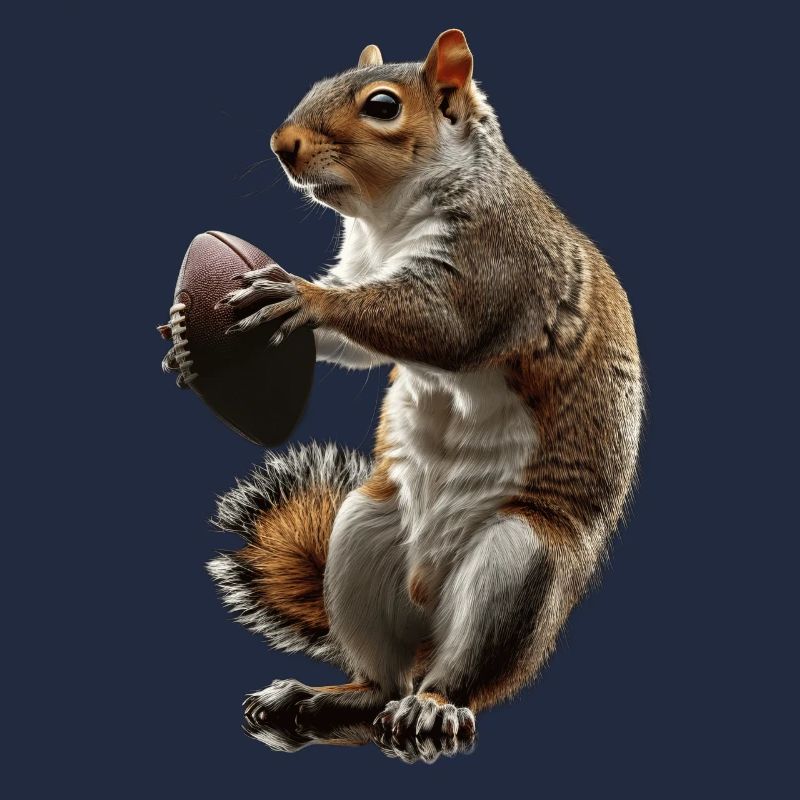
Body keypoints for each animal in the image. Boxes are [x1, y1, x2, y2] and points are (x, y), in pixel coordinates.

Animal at [202, 28, 645, 742]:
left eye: (382, 106)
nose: (281, 144)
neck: (387, 219)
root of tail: (427, 614)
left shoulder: (495, 260)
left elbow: (439, 326)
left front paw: (304, 296)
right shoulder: (362, 262)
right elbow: (359, 340)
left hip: (516, 563)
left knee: (462, 677)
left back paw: (432, 707)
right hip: (362, 528)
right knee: (378, 682)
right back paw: (317, 696)